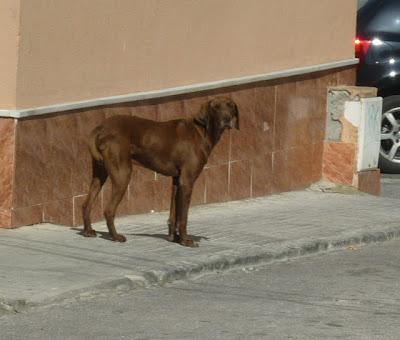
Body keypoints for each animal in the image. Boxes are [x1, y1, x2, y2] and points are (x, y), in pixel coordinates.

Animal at [81, 95, 238, 247]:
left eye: (230, 106)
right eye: (216, 107)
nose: (227, 119)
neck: (202, 131)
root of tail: (101, 127)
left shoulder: (177, 181)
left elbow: (174, 214)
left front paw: (175, 238)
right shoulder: (187, 181)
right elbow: (183, 217)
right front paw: (185, 240)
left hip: (100, 174)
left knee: (86, 204)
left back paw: (88, 230)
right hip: (123, 174)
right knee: (109, 210)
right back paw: (115, 236)